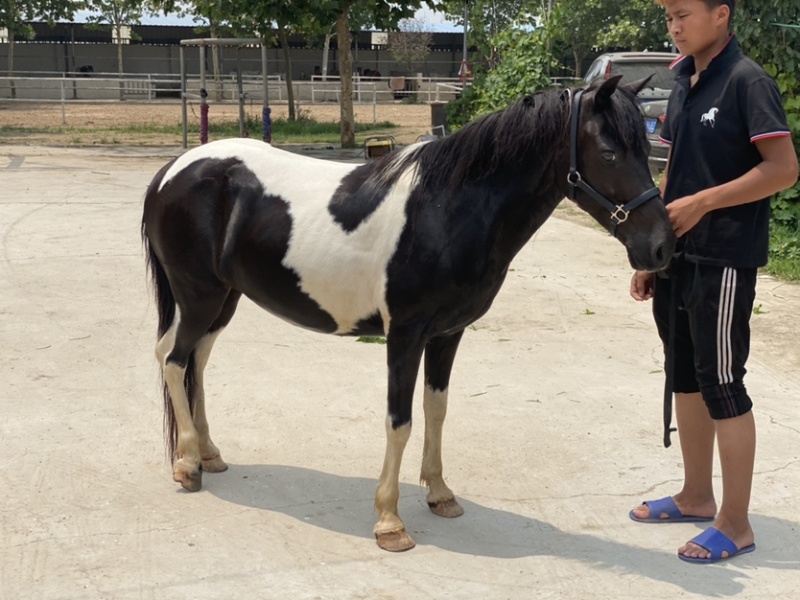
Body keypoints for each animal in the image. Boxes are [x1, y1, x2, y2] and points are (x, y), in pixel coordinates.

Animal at [141, 75, 676, 552]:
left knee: (196, 362)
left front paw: (440, 494)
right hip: (199, 296)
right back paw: (187, 466)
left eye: (642, 150)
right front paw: (389, 522)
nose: (661, 246)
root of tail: (173, 170)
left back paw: (208, 454)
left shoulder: (448, 333)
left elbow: (436, 409)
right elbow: (399, 421)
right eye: (609, 154)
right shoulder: (404, 334)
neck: (445, 210)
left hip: (224, 299)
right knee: (172, 359)